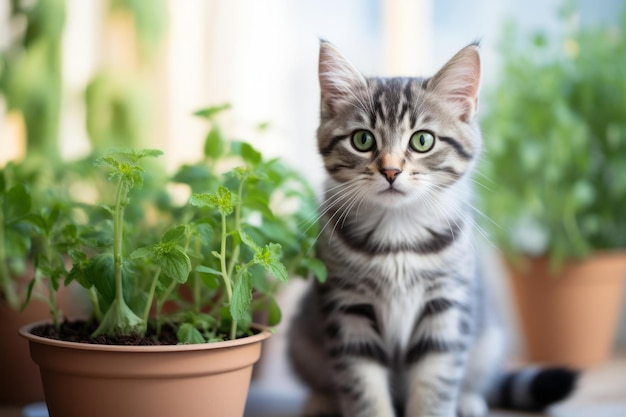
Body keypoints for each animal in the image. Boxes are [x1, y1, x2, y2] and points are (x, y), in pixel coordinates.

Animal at [288, 39, 576, 416]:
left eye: (422, 141)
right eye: (363, 140)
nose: (391, 170)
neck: (398, 233)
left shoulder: (447, 304)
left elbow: (436, 382)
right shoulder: (347, 308)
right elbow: (363, 387)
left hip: (489, 338)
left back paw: (469, 399)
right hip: (301, 338)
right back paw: (321, 400)